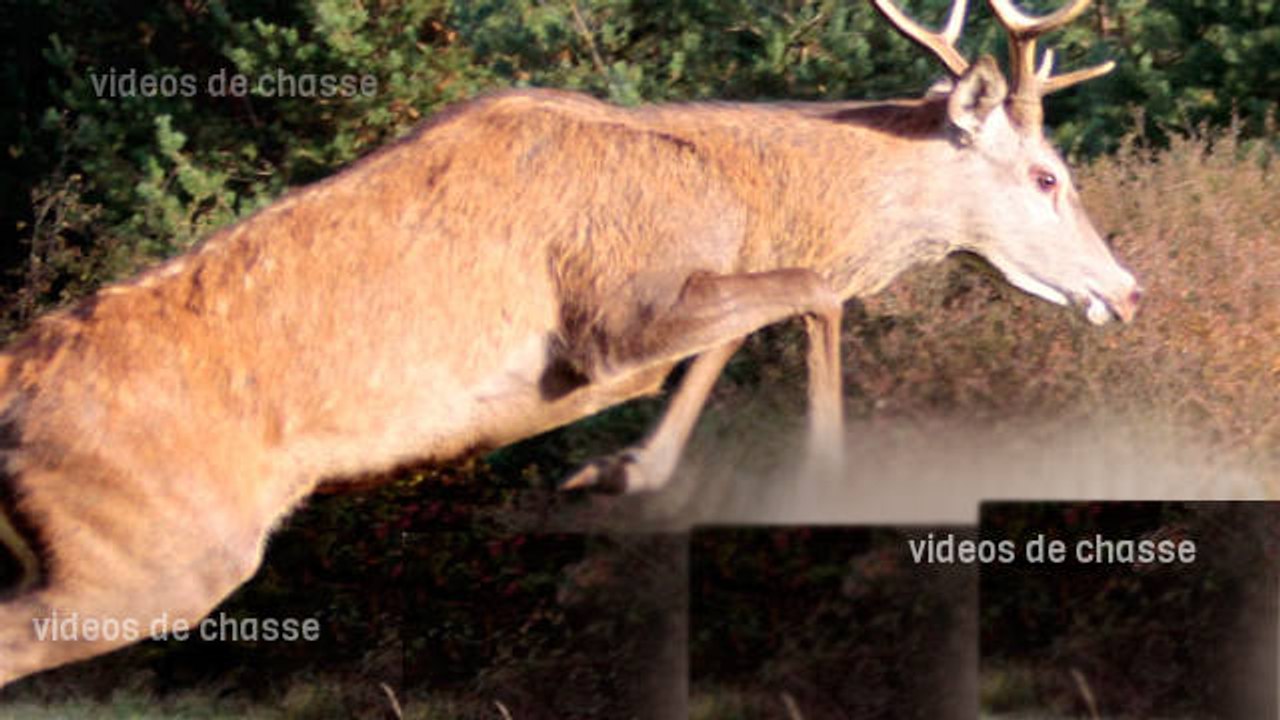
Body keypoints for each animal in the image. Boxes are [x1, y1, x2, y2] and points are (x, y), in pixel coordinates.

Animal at [0, 0, 1138, 688]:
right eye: (1046, 174)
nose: (1127, 293)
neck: (737, 191)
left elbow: (755, 317)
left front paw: (622, 470)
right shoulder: (609, 310)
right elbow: (810, 291)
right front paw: (804, 478)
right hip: (152, 549)